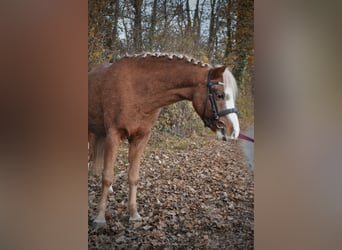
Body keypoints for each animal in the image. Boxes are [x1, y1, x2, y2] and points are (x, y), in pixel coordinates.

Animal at [88, 52, 239, 225]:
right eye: (220, 95)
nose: (234, 131)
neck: (137, 90)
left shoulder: (141, 138)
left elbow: (133, 177)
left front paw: (133, 214)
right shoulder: (113, 135)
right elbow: (107, 177)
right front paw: (100, 217)